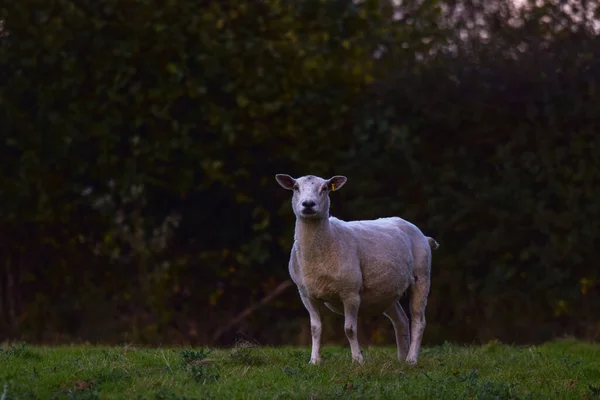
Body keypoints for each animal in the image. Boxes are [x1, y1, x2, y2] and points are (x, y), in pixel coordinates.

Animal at [274, 174, 438, 366]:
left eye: (325, 188)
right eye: (295, 187)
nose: (308, 204)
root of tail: (423, 236)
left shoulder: (350, 292)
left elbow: (349, 329)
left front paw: (357, 360)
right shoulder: (306, 294)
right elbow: (315, 328)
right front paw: (314, 361)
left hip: (422, 276)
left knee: (418, 321)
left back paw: (411, 359)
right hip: (386, 292)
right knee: (401, 321)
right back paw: (401, 359)